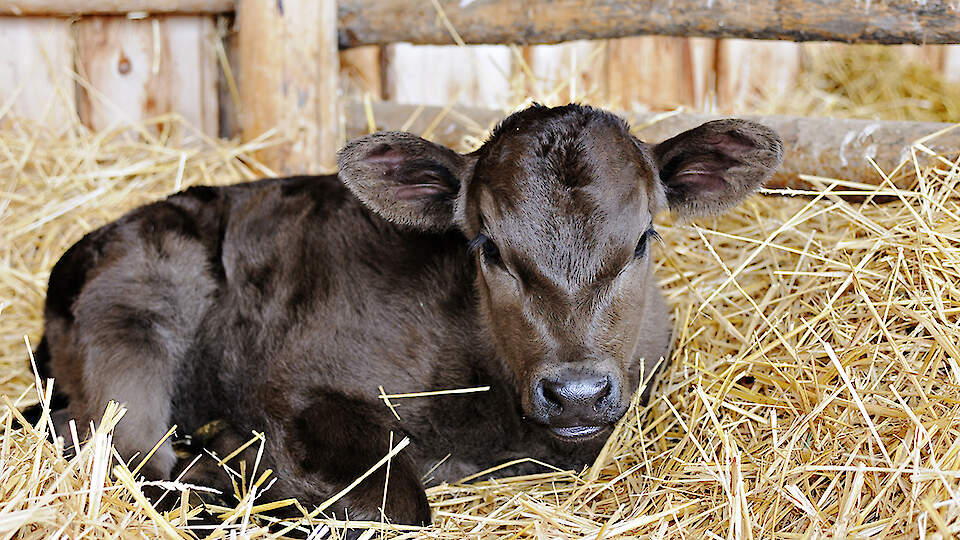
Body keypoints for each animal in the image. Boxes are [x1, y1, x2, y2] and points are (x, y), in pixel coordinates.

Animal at [35, 104, 781, 528]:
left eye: (643, 238)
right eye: (489, 247)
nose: (575, 392)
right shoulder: (299, 388)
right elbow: (398, 509)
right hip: (133, 331)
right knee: (126, 460)